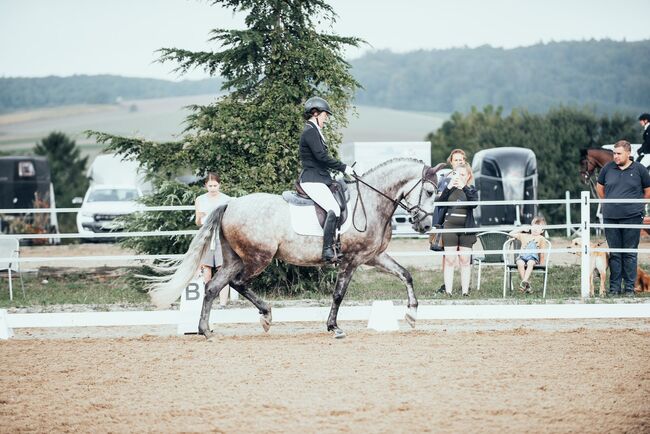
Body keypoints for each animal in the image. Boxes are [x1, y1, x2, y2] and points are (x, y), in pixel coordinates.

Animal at [149, 159, 442, 340]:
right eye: (429, 191)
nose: (425, 225)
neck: (371, 202)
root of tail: (230, 204)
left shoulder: (373, 257)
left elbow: (406, 274)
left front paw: (412, 314)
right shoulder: (351, 261)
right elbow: (338, 295)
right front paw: (334, 327)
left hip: (235, 258)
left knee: (213, 287)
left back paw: (206, 330)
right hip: (258, 257)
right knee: (237, 283)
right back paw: (265, 316)